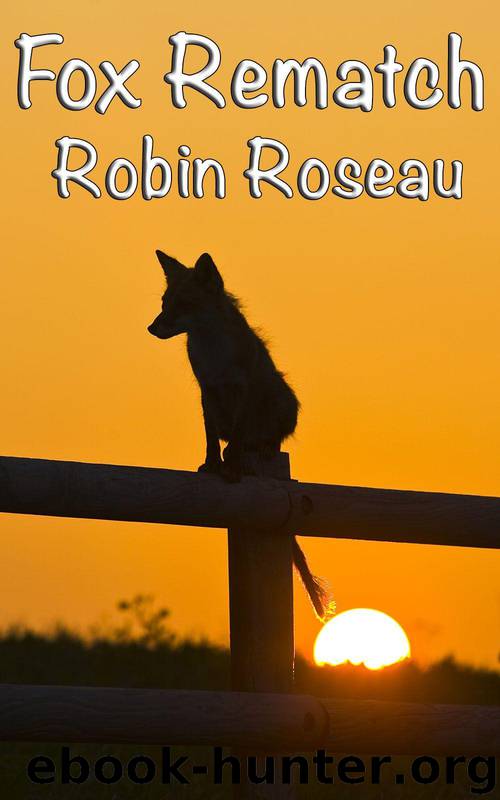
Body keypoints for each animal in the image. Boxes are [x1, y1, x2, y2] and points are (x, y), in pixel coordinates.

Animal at [148, 250, 332, 620]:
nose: (151, 327)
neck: (213, 351)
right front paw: (212, 466)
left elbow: (235, 440)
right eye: (164, 303)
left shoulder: (245, 389)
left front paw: (231, 468)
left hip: (282, 400)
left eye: (183, 304)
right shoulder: (207, 391)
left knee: (261, 439)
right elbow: (211, 442)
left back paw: (259, 451)